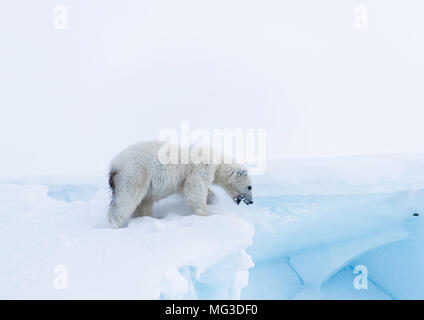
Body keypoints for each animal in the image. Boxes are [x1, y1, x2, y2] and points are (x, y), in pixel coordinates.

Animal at [107, 140, 253, 228]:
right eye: (250, 187)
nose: (251, 201)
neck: (218, 160)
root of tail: (113, 165)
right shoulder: (202, 165)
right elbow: (197, 185)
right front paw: (204, 214)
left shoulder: (183, 180)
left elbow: (189, 190)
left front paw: (213, 201)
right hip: (135, 173)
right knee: (128, 197)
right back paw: (115, 223)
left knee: (144, 202)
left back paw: (152, 217)